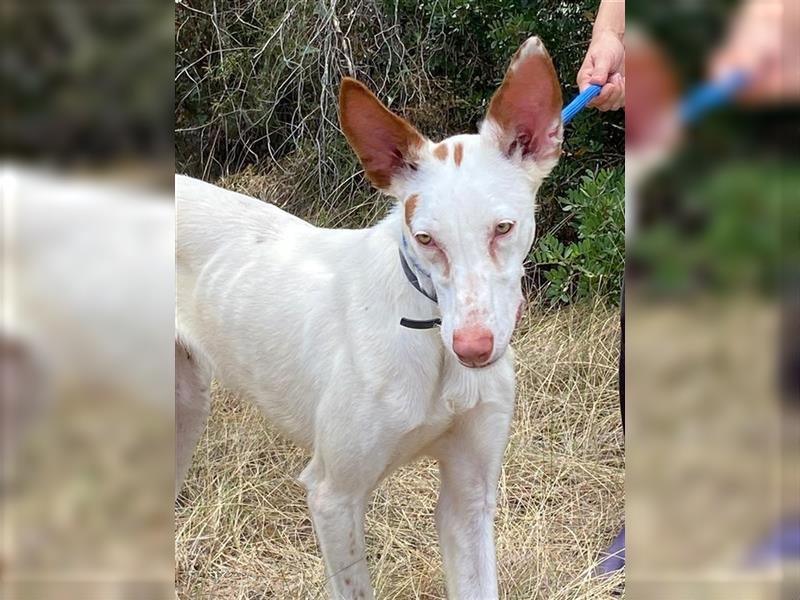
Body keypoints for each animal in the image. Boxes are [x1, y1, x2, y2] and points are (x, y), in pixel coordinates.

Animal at [175, 37, 564, 600]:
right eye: (425, 239)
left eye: (503, 228)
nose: (473, 348)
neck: (430, 339)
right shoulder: (332, 495)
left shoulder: (468, 497)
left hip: (184, 410)